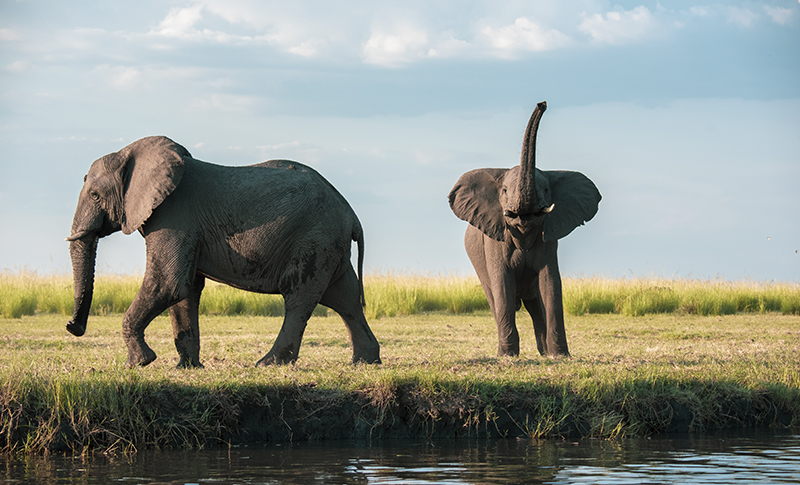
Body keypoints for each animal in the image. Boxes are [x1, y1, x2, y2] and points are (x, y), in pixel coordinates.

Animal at [66, 135, 381, 368]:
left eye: (95, 195)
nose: (72, 327)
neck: (129, 154)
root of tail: (351, 214)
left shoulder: (174, 215)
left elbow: (167, 283)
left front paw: (138, 363)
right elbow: (185, 290)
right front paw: (187, 368)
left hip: (315, 237)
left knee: (299, 298)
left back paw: (268, 363)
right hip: (329, 243)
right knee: (345, 298)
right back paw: (365, 362)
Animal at [448, 102, 601, 357]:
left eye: (547, 190)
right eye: (504, 191)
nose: (542, 104)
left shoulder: (549, 238)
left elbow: (551, 285)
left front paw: (560, 356)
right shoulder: (495, 239)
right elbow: (503, 286)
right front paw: (508, 356)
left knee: (536, 304)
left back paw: (545, 352)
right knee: (496, 299)